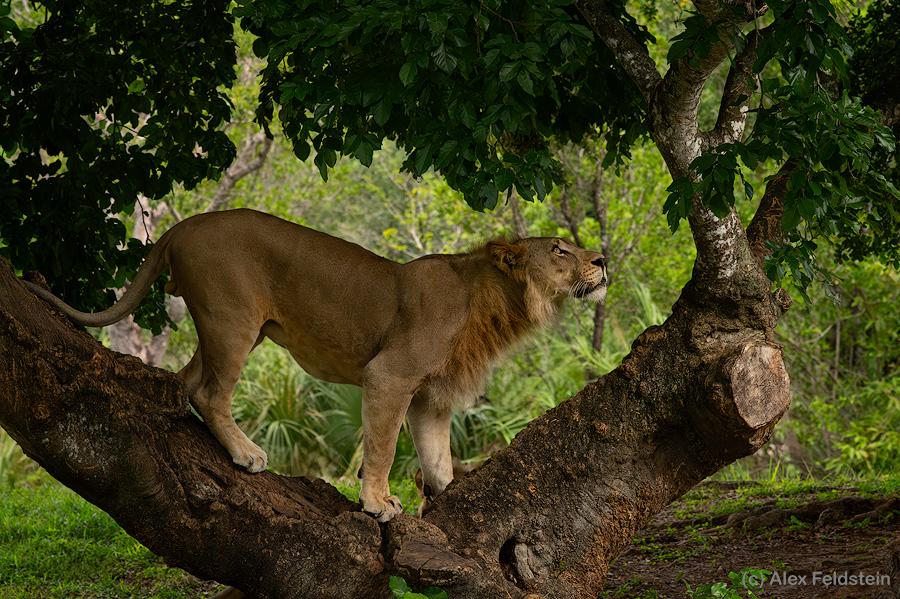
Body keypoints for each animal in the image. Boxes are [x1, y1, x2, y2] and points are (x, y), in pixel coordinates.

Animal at [25, 208, 607, 521]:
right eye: (559, 250)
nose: (601, 260)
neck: (492, 301)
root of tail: (184, 225)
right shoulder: (390, 375)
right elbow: (382, 446)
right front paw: (377, 503)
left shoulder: (429, 396)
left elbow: (438, 458)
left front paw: (444, 501)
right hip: (233, 320)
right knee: (211, 391)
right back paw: (246, 454)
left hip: (232, 328)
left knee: (187, 382)